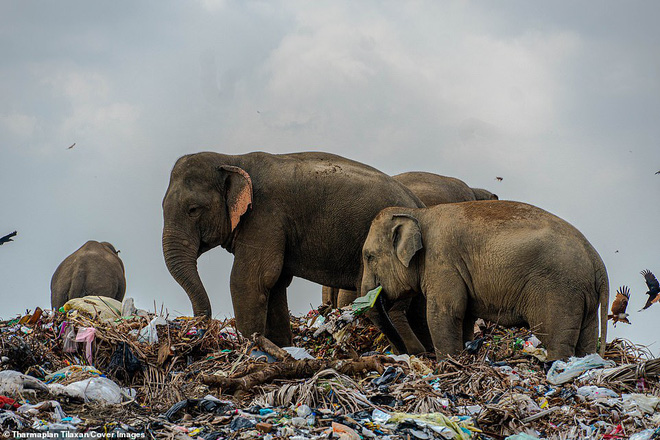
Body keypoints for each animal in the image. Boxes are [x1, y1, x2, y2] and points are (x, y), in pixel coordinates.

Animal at [162, 150, 426, 348]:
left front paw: (252, 350)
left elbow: (250, 280)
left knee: (393, 310)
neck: (232, 158)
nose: (199, 330)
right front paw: (281, 348)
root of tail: (419, 204)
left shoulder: (264, 216)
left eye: (193, 209)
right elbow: (275, 283)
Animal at [360, 201, 608, 362]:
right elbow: (465, 317)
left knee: (557, 341)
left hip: (560, 293)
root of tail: (598, 262)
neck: (419, 214)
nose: (411, 354)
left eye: (369, 256)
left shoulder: (442, 261)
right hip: (584, 298)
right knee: (586, 340)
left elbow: (445, 313)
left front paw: (447, 364)